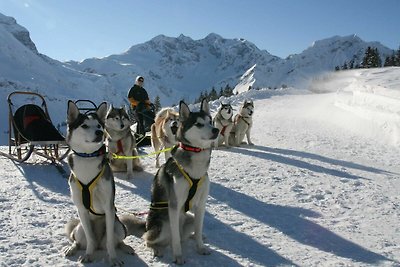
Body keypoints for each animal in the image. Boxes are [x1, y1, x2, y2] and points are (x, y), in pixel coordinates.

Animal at [62, 101, 144, 266]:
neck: (87, 158)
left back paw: (126, 247)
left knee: (116, 241)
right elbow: (90, 239)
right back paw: (72, 248)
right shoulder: (81, 209)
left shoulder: (108, 207)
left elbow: (111, 242)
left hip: (119, 226)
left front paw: (113, 259)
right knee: (79, 241)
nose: (100, 133)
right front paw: (88, 255)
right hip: (80, 228)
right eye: (84, 125)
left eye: (99, 125)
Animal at [143, 99, 219, 266]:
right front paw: (178, 256)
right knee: (148, 239)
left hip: (188, 219)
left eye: (210, 121)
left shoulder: (201, 205)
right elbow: (176, 239)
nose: (216, 130)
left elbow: (199, 228)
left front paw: (200, 247)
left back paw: (194, 237)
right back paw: (156, 249)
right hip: (161, 226)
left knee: (189, 232)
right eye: (198, 124)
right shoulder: (174, 205)